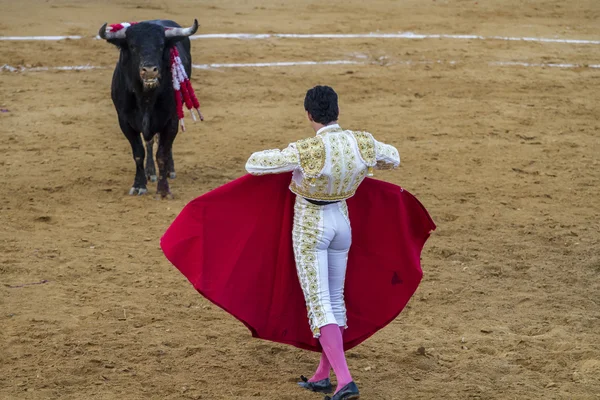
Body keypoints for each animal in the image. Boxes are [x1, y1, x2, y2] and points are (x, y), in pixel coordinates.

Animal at [99, 19, 199, 198]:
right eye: (132, 46)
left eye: (161, 45)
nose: (150, 70)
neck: (145, 97)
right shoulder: (125, 122)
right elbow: (139, 153)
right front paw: (139, 185)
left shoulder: (171, 120)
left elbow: (162, 154)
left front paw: (163, 190)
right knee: (149, 142)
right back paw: (150, 172)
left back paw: (169, 171)